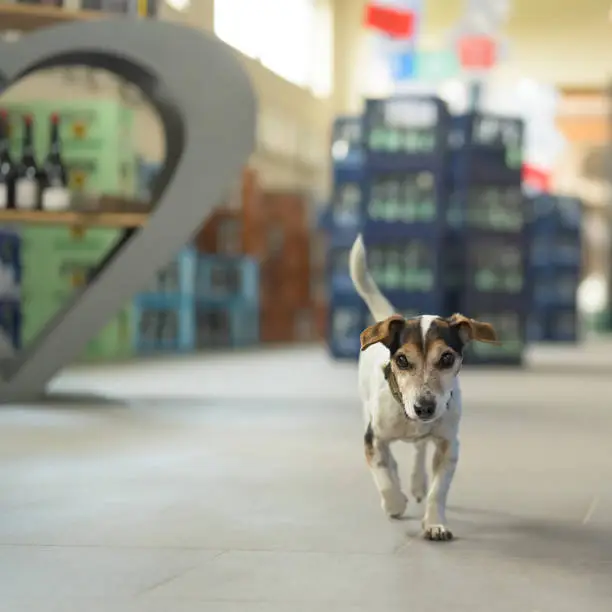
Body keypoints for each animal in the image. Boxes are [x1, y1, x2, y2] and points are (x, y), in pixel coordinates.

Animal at [346, 234, 500, 540]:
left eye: (447, 358)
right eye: (402, 360)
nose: (424, 407)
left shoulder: (449, 444)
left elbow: (437, 491)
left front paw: (434, 523)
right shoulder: (372, 438)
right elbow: (383, 474)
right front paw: (394, 502)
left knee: (418, 451)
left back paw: (417, 483)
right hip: (366, 409)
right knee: (392, 460)